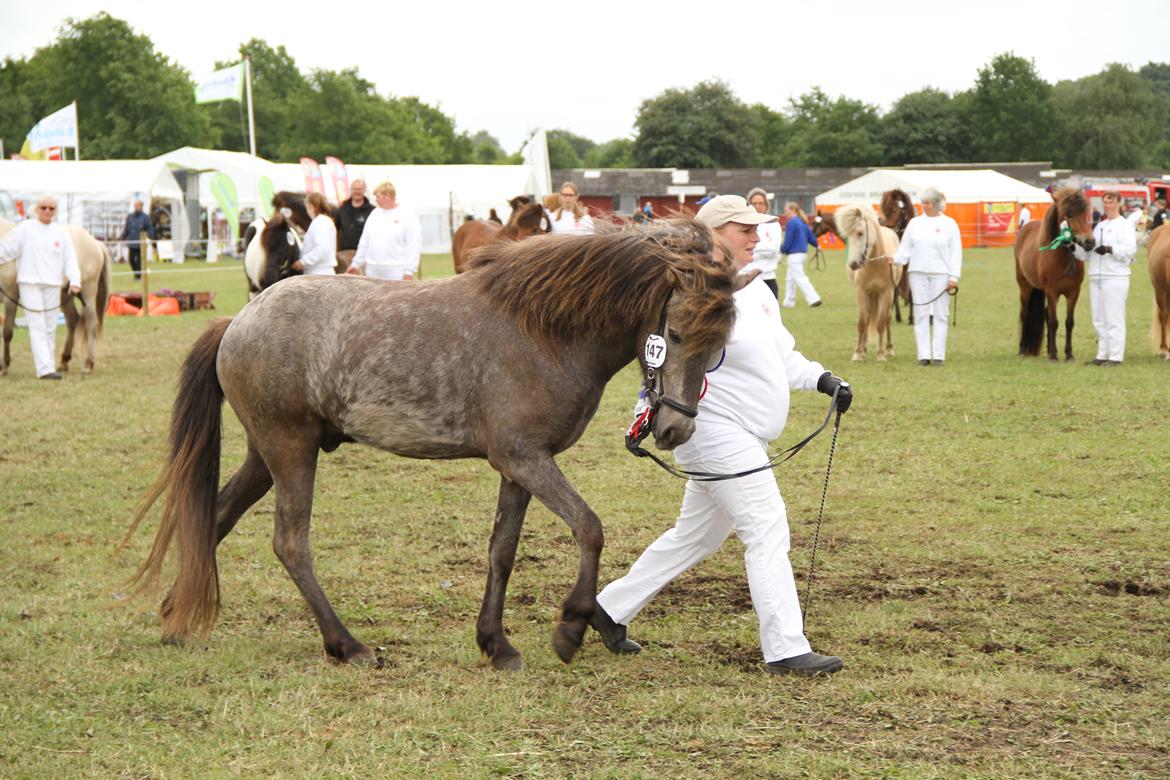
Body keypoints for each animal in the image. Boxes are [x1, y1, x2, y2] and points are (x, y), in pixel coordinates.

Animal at [121, 219, 739, 673]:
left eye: (721, 347)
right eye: (675, 333)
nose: (676, 431)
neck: (544, 329)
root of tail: (237, 321)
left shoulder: (520, 465)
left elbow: (502, 550)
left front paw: (496, 643)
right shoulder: (523, 458)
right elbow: (589, 527)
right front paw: (570, 626)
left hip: (264, 455)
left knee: (216, 516)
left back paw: (176, 617)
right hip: (289, 449)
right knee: (290, 544)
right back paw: (346, 645)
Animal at [837, 204, 898, 362]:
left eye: (860, 233)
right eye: (847, 236)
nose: (853, 264)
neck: (876, 263)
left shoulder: (886, 293)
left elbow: (881, 323)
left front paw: (880, 354)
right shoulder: (861, 292)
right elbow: (862, 322)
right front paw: (858, 353)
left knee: (888, 318)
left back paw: (889, 349)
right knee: (869, 318)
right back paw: (863, 349)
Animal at [1015, 187, 1095, 362]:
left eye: (1085, 213)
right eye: (1068, 215)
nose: (1089, 242)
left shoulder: (1073, 292)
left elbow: (1069, 322)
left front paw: (1069, 354)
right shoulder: (1052, 292)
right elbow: (1054, 322)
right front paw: (1053, 354)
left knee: (1045, 314)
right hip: (1025, 287)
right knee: (1025, 314)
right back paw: (1023, 350)